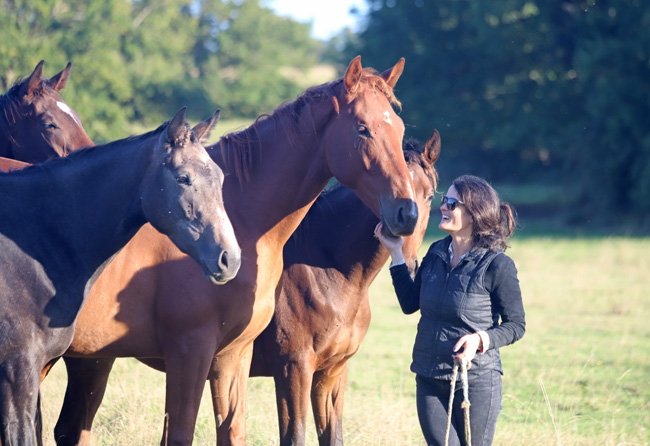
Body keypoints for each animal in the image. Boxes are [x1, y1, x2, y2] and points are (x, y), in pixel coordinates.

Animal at [53, 55, 412, 446]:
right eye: (363, 129)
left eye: (400, 130)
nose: (406, 212)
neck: (240, 216)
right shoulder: (191, 353)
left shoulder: (235, 354)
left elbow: (233, 430)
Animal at [248, 132, 440, 446]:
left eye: (430, 195)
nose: (411, 263)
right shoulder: (293, 369)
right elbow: (294, 435)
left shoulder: (332, 371)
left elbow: (333, 435)